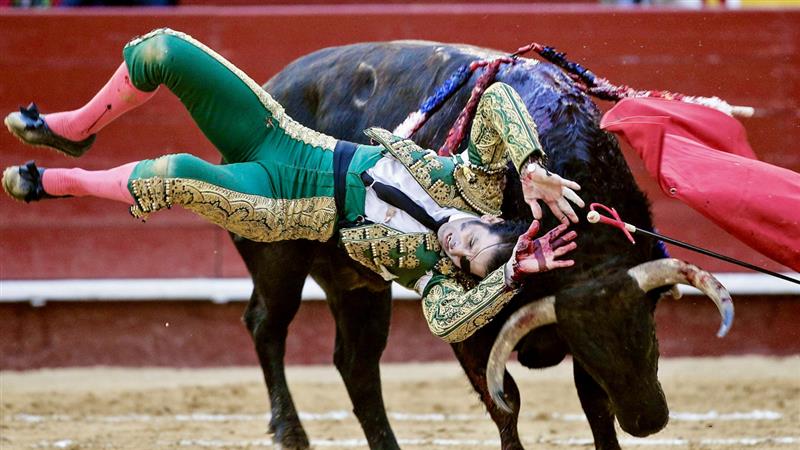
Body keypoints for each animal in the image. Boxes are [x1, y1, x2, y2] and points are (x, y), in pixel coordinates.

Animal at [233, 41, 731, 450]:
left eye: (651, 332)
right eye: (591, 348)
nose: (648, 421)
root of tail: (273, 84)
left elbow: (594, 402)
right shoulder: (472, 335)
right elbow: (505, 399)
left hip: (357, 285)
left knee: (357, 363)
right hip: (278, 259)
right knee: (266, 326)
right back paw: (290, 432)